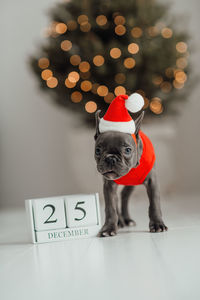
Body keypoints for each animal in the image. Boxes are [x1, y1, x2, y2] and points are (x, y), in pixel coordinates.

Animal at [94, 105, 167, 237]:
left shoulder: (152, 181)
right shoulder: (109, 185)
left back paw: (127, 219)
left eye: (128, 150)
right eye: (97, 150)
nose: (111, 158)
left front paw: (157, 224)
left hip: (132, 185)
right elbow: (111, 207)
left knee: (125, 195)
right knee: (119, 198)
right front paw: (109, 228)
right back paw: (120, 222)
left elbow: (154, 204)